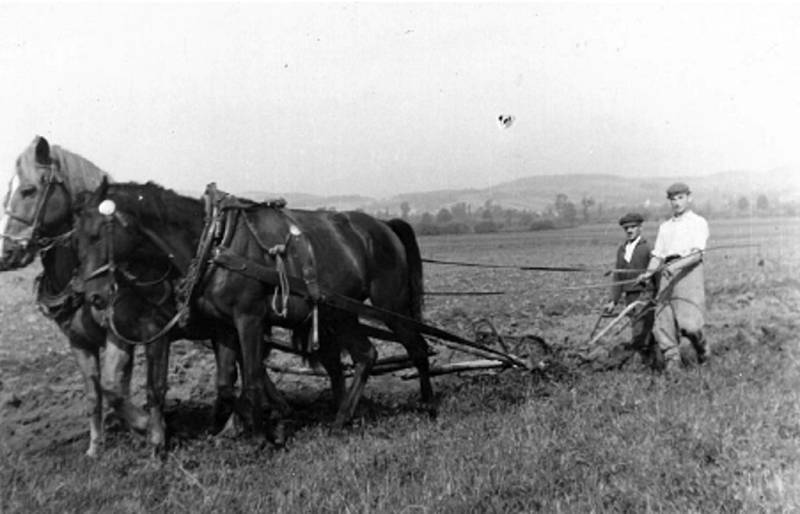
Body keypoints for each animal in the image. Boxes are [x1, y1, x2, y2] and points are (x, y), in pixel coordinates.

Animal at [76, 177, 432, 436]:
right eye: (76, 237)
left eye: (96, 235)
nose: (94, 297)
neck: (213, 242)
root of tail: (383, 225)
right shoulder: (223, 326)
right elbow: (226, 383)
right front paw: (227, 429)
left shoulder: (249, 319)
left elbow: (251, 377)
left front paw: (260, 436)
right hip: (341, 312)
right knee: (365, 355)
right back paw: (342, 418)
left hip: (390, 304)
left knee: (416, 347)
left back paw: (428, 404)